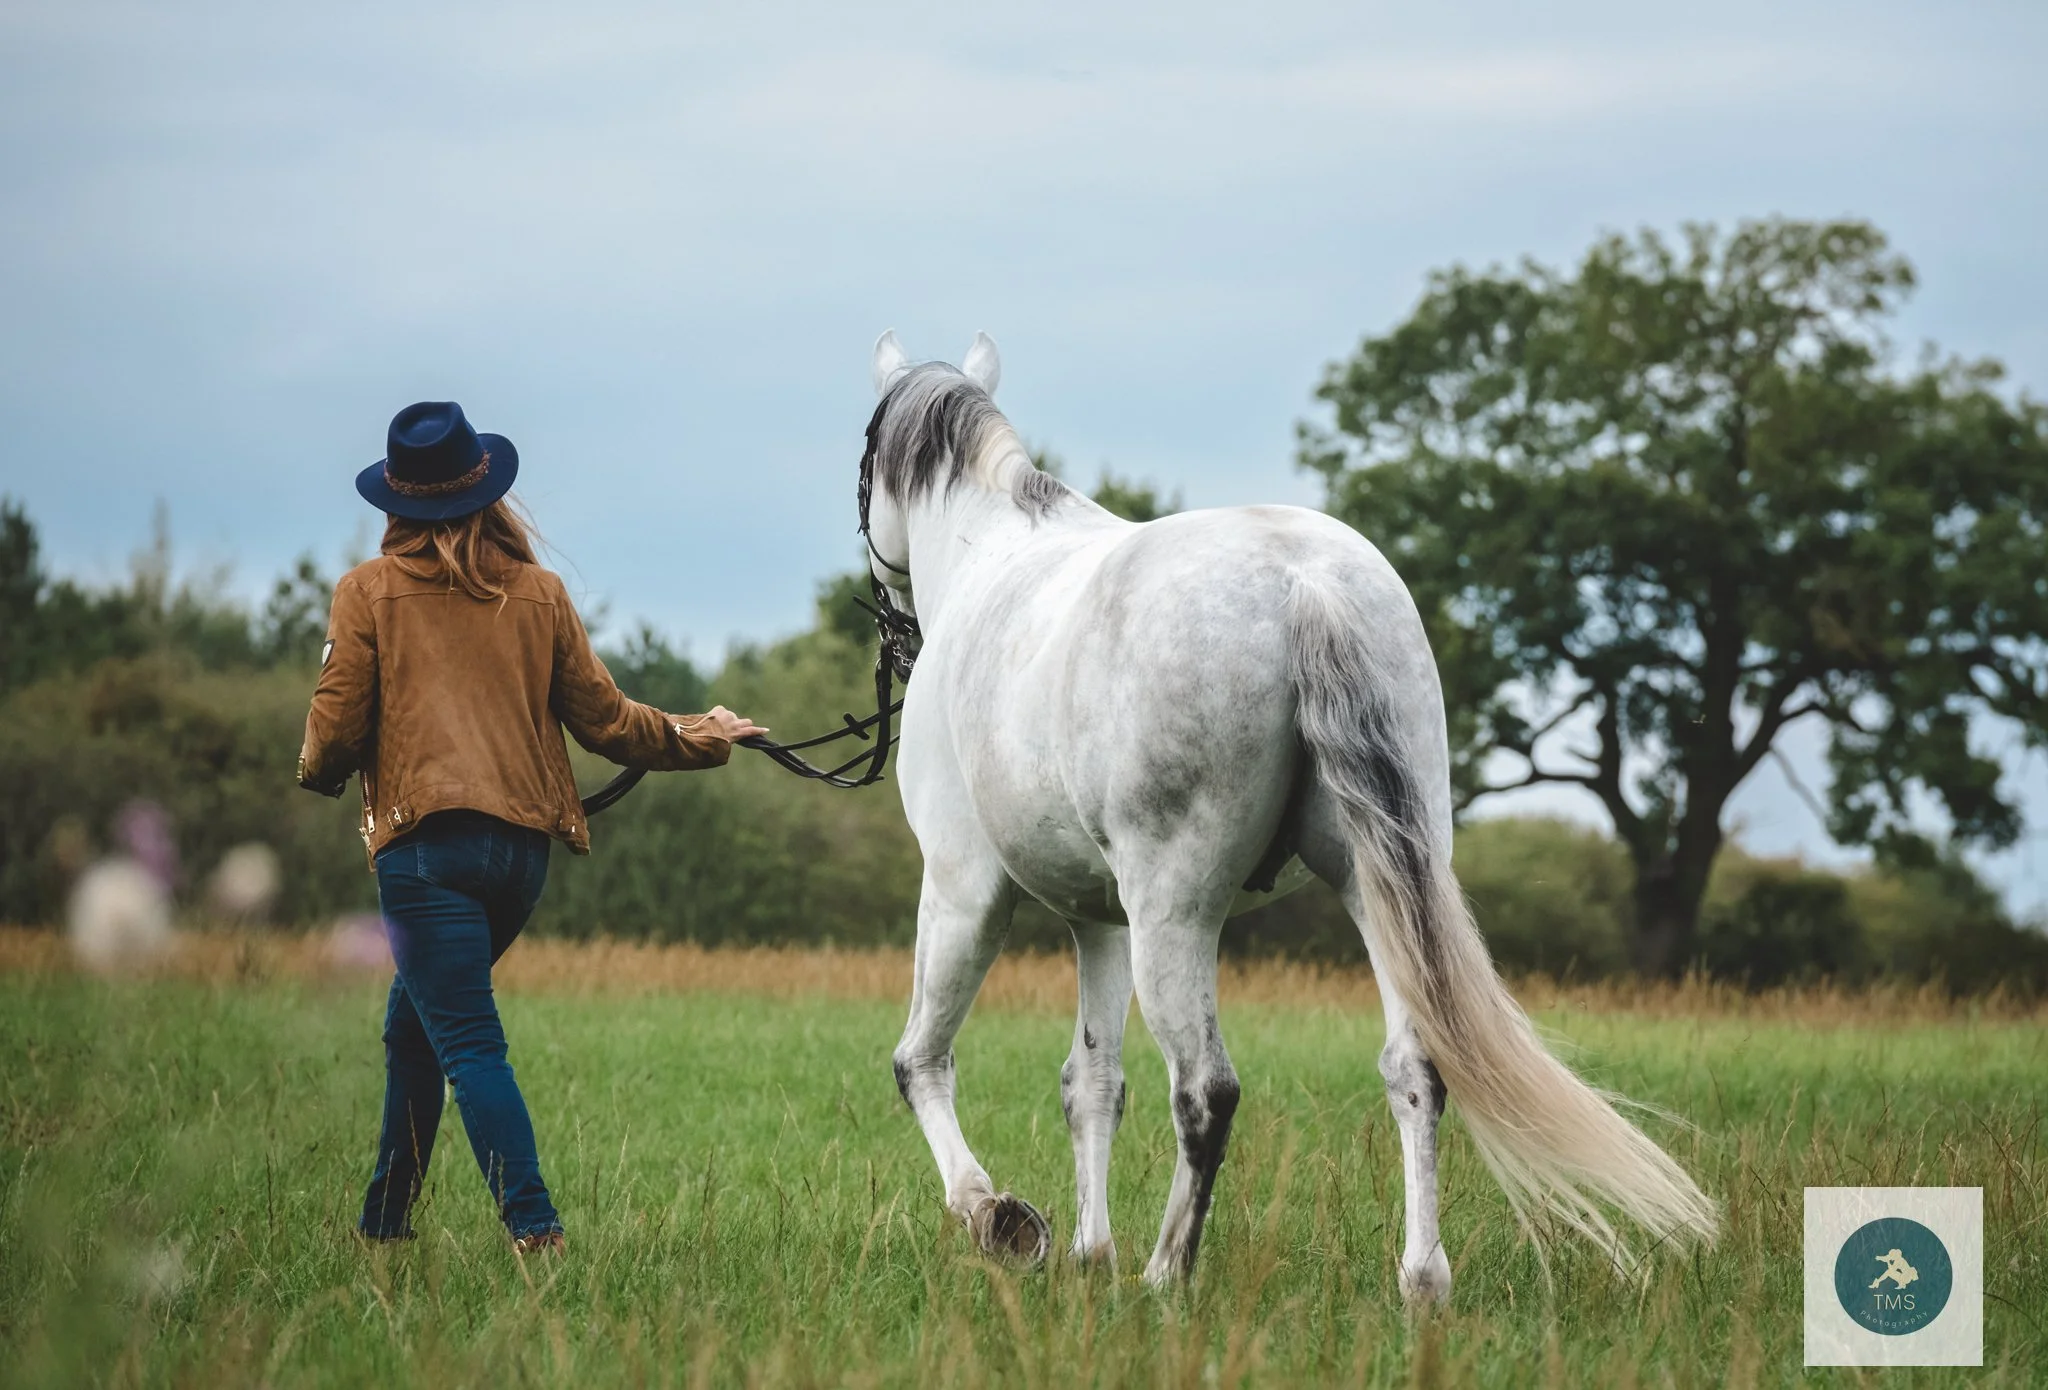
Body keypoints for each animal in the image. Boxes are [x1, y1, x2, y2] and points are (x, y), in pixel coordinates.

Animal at [863, 331, 1717, 1297]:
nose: (893, 633)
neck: (992, 553)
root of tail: (1305, 582)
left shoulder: (966, 892)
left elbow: (922, 1062)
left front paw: (998, 1218)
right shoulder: (1099, 921)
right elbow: (1092, 1084)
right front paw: (1088, 1254)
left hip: (1175, 913)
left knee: (1205, 1088)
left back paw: (1167, 1275)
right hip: (1376, 884)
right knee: (1417, 1067)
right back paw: (1421, 1279)